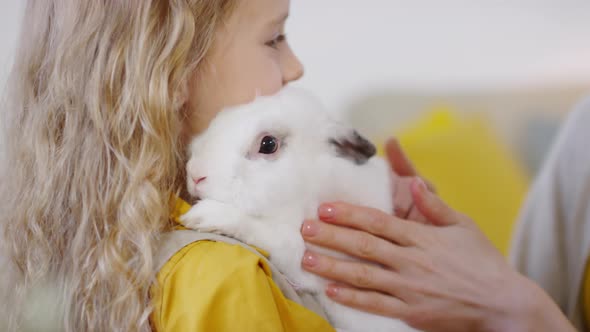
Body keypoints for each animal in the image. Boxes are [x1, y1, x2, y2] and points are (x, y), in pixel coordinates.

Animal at [183, 87, 418, 330]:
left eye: (268, 144)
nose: (195, 174)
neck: (309, 188)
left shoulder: (305, 260)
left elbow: (265, 231)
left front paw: (203, 216)